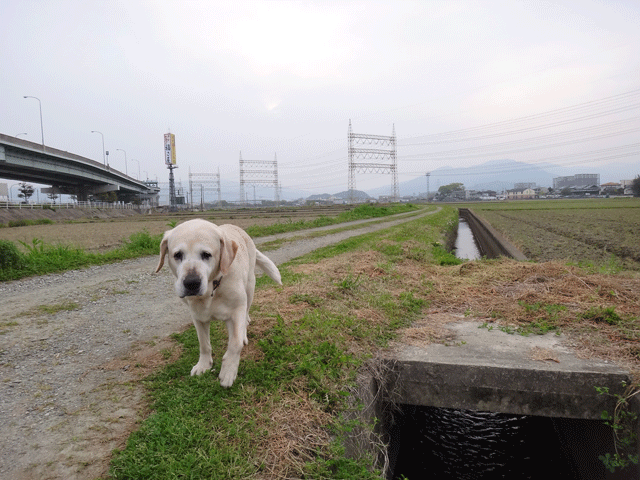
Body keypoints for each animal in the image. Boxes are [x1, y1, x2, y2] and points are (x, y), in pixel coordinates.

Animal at [155, 219, 280, 388]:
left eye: (206, 255)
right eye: (178, 255)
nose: (191, 283)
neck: (212, 289)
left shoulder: (237, 310)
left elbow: (235, 344)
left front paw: (228, 371)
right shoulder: (198, 317)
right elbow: (203, 344)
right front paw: (203, 365)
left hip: (249, 288)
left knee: (246, 314)